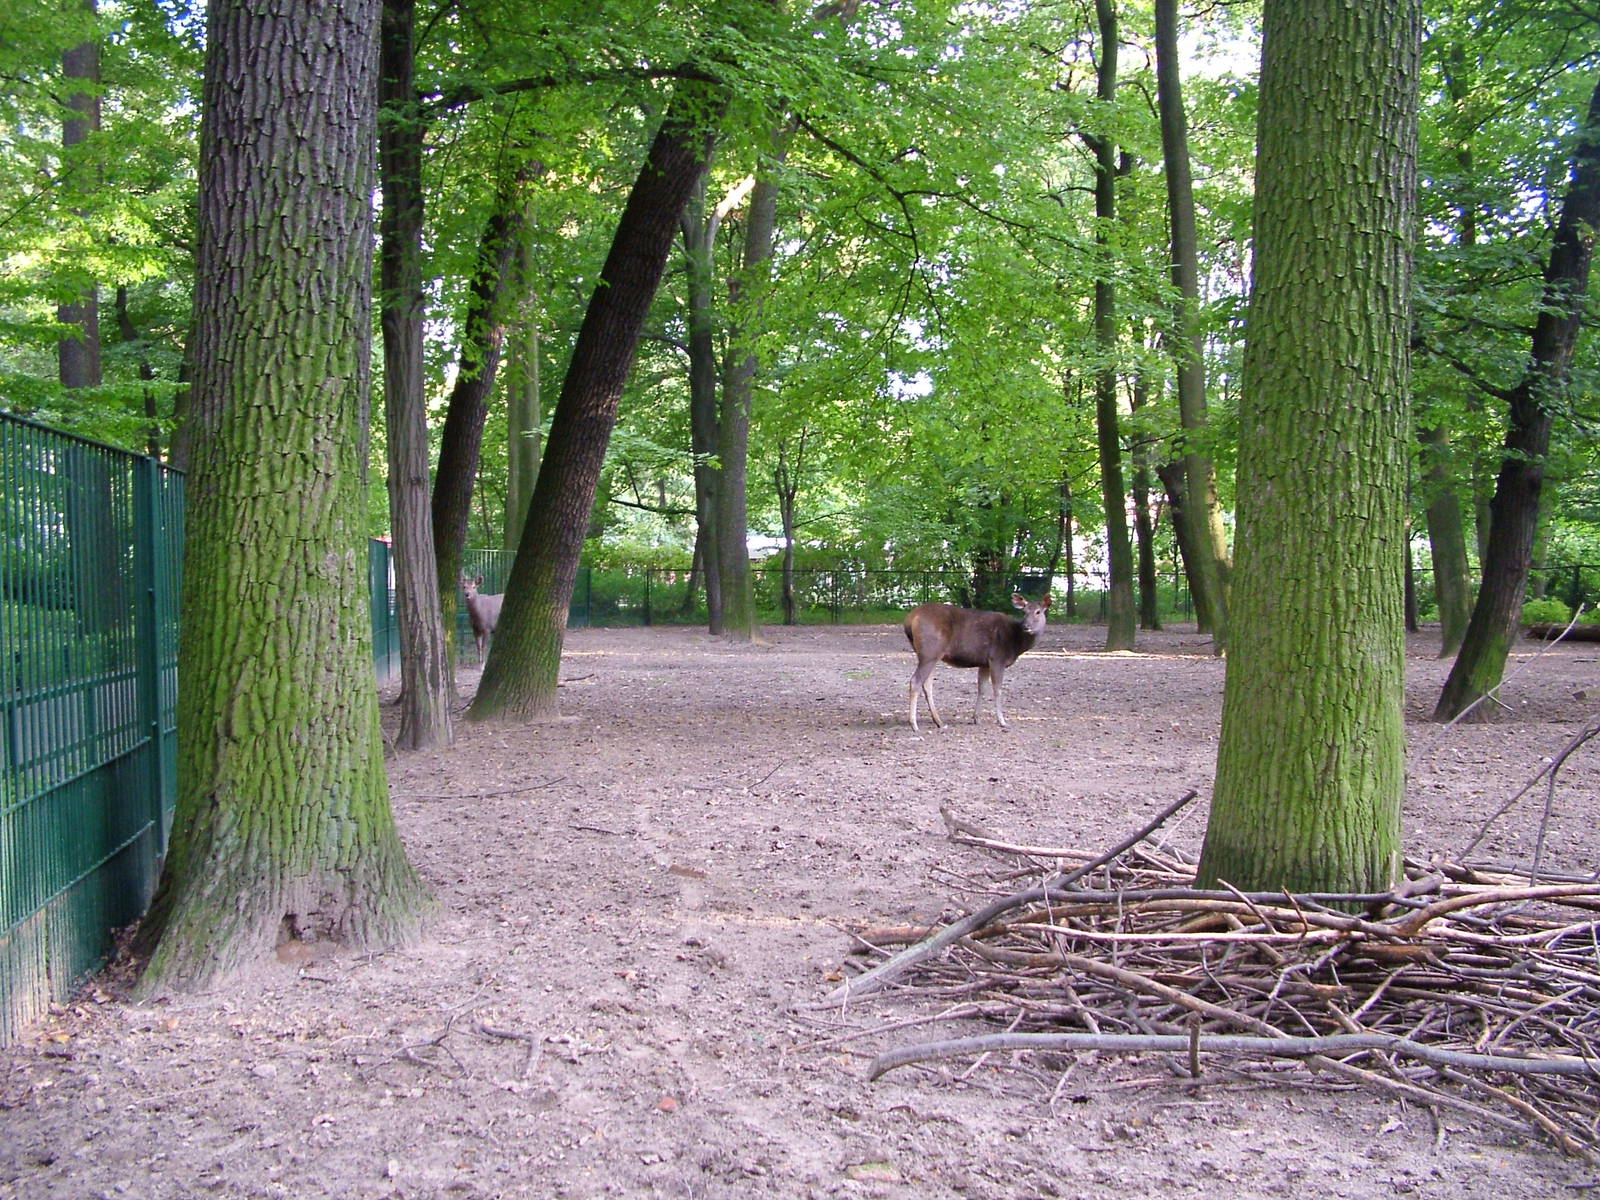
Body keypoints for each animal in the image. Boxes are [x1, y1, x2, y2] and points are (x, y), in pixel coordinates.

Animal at [903, 593, 1051, 732]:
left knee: (927, 684)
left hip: (930, 655)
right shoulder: (997, 658)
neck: (1016, 644)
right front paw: (1002, 721)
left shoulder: (984, 663)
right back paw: (914, 724)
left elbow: (982, 688)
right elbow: (997, 689)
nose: (1026, 626)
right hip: (930, 652)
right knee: (916, 681)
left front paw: (976, 718)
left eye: (1038, 611)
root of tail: (910, 620)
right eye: (1024, 612)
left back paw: (939, 722)